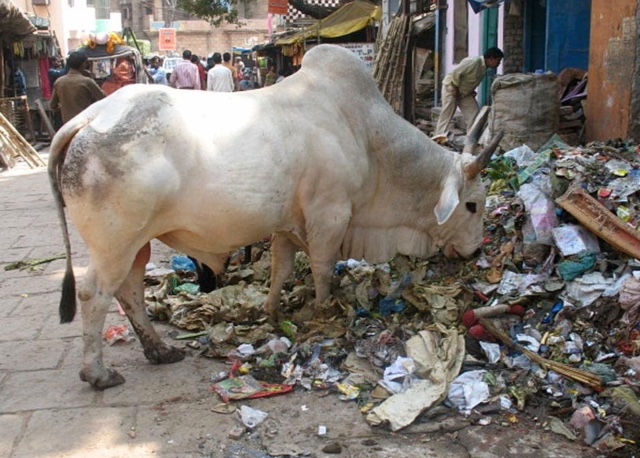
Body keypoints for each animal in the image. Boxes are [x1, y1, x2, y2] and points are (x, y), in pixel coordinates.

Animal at [49, 44, 502, 390]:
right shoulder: (330, 217)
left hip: (136, 242)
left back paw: (159, 349)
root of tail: (88, 118)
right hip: (114, 242)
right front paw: (322, 313)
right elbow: (322, 271)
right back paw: (98, 373)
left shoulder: (288, 225)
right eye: (473, 205)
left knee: (130, 291)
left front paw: (270, 313)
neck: (369, 139)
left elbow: (281, 269)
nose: (475, 250)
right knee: (95, 294)